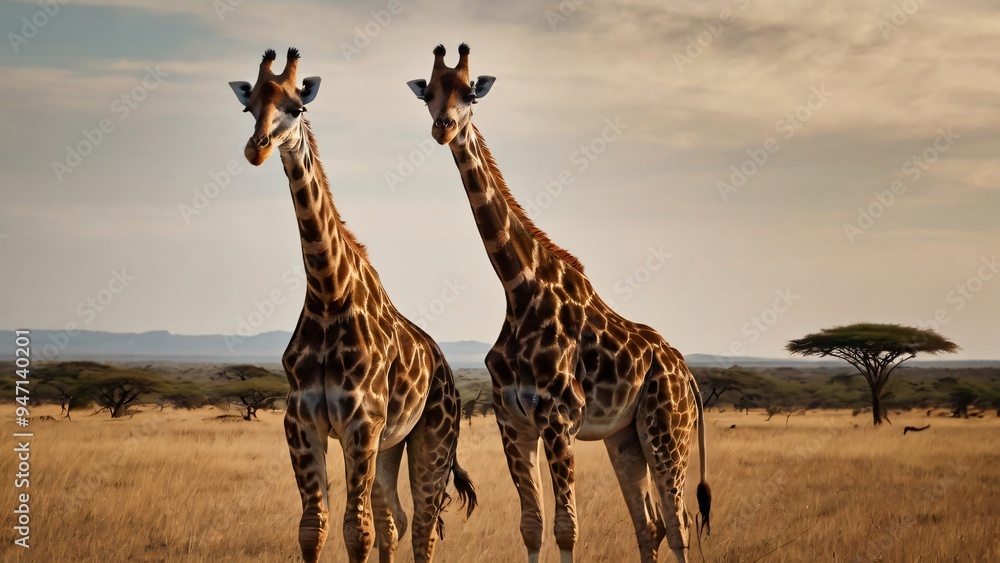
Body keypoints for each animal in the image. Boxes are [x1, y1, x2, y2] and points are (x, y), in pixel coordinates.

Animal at [228, 48, 476, 563]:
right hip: (389, 445)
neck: (329, 294)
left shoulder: (360, 423)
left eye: (296, 106)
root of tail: (446, 371)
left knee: (422, 526)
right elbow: (313, 527)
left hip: (433, 437)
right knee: (394, 520)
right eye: (249, 106)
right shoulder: (301, 422)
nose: (257, 148)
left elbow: (354, 531)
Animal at [406, 44, 711, 563]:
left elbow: (567, 527)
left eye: (470, 94)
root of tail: (685, 371)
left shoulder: (559, 417)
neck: (518, 288)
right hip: (624, 437)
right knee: (648, 523)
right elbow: (532, 525)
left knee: (677, 523)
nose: (443, 127)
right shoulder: (512, 420)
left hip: (667, 428)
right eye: (428, 93)